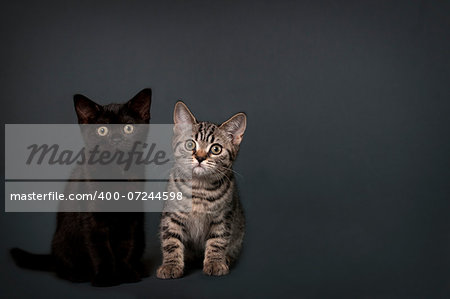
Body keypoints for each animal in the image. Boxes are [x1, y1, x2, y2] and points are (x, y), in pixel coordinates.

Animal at [9, 88, 151, 288]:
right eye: (102, 130)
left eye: (128, 128)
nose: (116, 139)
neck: (115, 173)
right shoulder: (92, 219)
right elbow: (101, 250)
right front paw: (106, 278)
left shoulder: (131, 217)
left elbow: (126, 246)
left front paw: (126, 273)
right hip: (64, 243)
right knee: (62, 268)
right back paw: (78, 274)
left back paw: (140, 268)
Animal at [157, 102, 248, 278]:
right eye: (190, 144)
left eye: (216, 149)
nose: (199, 157)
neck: (199, 189)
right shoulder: (172, 215)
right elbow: (171, 240)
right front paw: (171, 265)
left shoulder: (223, 216)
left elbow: (218, 240)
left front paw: (215, 263)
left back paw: (226, 258)